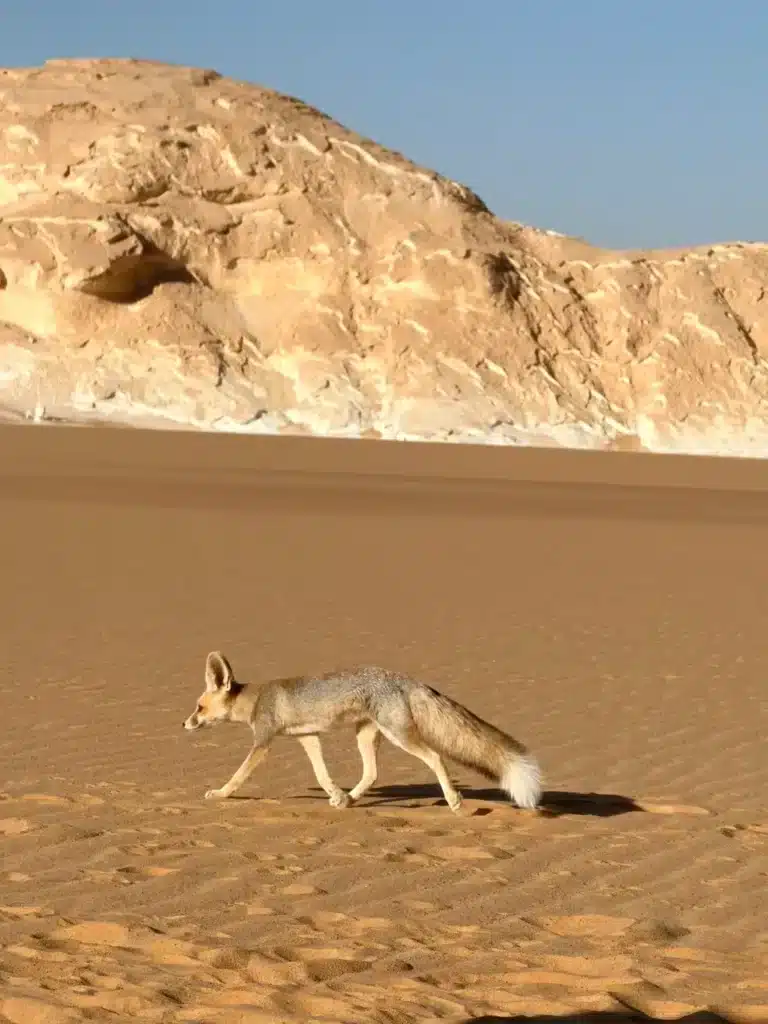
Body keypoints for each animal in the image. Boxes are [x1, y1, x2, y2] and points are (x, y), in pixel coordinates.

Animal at [183, 651, 542, 814]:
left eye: (198, 708)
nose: (184, 724)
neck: (256, 698)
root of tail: (404, 677)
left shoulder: (264, 741)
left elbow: (238, 776)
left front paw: (220, 793)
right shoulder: (307, 737)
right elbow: (321, 774)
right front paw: (336, 793)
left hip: (399, 736)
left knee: (435, 757)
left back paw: (453, 798)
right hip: (366, 736)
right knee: (371, 773)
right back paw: (350, 798)